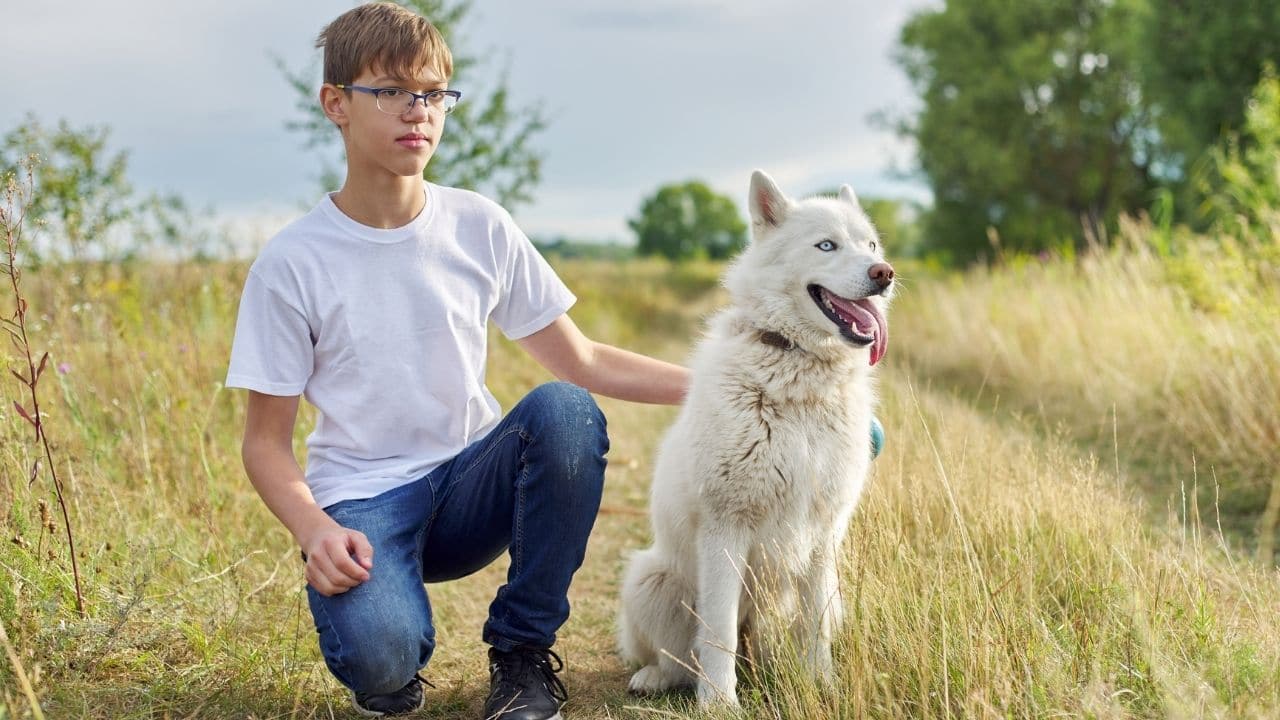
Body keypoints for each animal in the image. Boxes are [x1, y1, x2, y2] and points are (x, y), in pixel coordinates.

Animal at [616, 169, 896, 707]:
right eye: (826, 245)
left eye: (870, 244)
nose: (884, 273)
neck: (800, 375)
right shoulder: (726, 527)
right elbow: (719, 631)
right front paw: (720, 703)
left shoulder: (823, 533)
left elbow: (814, 628)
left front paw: (821, 684)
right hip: (649, 579)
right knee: (677, 657)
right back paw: (656, 678)